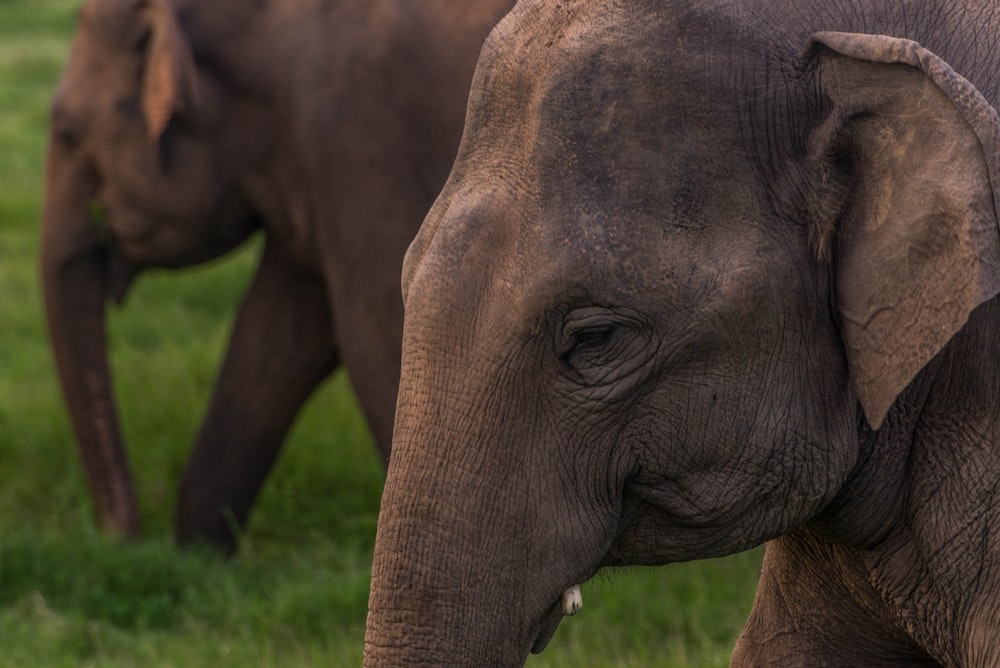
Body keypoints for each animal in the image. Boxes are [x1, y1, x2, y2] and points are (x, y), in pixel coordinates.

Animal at [42, 0, 512, 552]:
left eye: (68, 131)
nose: (123, 539)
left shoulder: (365, 143)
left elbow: (379, 335)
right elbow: (277, 340)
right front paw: (197, 556)